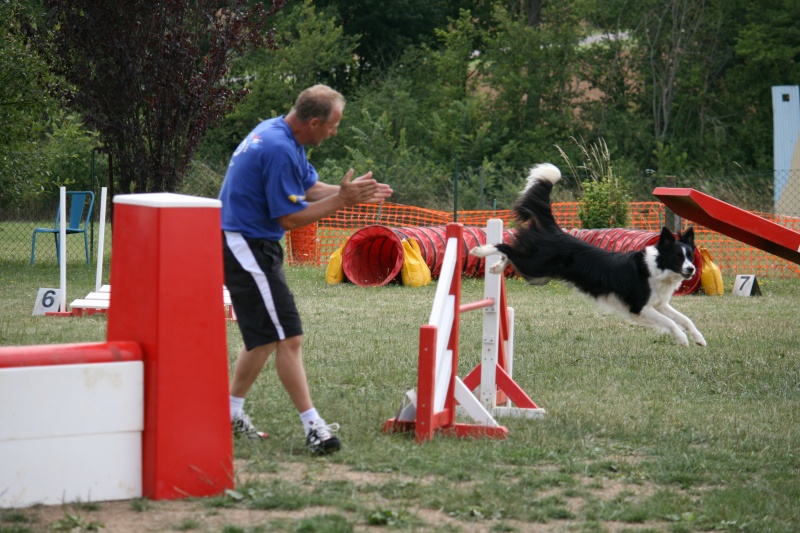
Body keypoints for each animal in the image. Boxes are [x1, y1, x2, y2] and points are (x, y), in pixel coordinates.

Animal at [468, 162, 708, 348]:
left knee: (513, 253)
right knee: (506, 246)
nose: (691, 269)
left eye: (690, 256)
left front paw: (699, 339)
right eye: (677, 257)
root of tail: (556, 230)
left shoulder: (659, 304)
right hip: (536, 266)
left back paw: (496, 267)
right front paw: (683, 340)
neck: (658, 269)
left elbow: (685, 318)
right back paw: (479, 250)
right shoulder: (640, 307)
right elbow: (671, 323)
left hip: (538, 273)